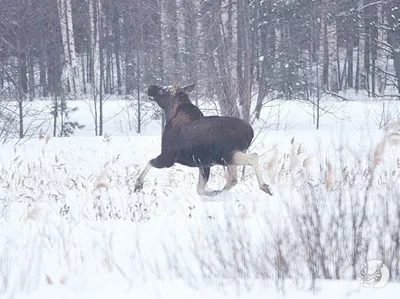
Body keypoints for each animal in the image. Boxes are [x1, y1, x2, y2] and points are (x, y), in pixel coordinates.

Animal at [134, 83, 272, 198]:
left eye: (163, 90)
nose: (150, 87)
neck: (170, 113)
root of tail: (250, 132)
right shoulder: (203, 164)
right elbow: (200, 189)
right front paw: (210, 193)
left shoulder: (168, 157)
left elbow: (149, 162)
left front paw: (138, 185)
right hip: (228, 158)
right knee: (233, 179)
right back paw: (219, 191)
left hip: (226, 155)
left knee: (252, 157)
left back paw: (264, 186)